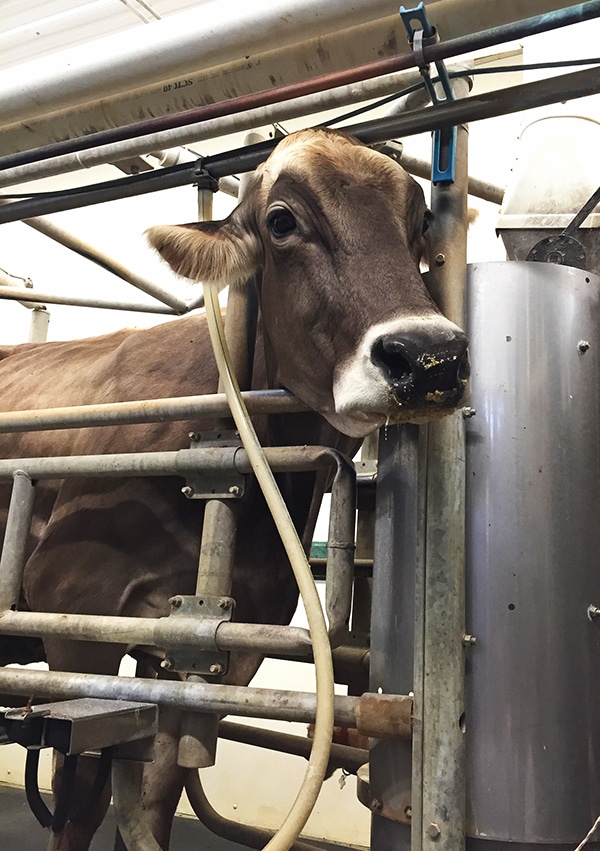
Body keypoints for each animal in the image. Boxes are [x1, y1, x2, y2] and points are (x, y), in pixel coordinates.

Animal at [0, 128, 468, 851]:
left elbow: (152, 800)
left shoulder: (223, 646)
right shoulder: (73, 613)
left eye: (419, 222)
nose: (429, 358)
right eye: (282, 221)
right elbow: (80, 800)